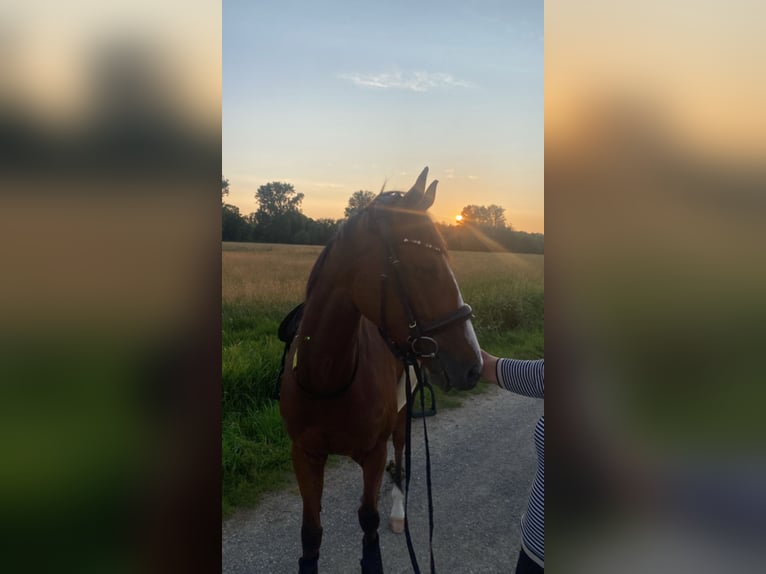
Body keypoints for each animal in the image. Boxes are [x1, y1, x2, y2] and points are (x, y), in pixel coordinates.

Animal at [279, 167, 482, 574]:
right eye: (425, 267)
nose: (473, 365)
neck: (329, 375)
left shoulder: (372, 454)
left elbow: (368, 524)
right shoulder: (304, 455)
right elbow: (311, 533)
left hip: (404, 418)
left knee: (401, 462)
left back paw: (399, 512)